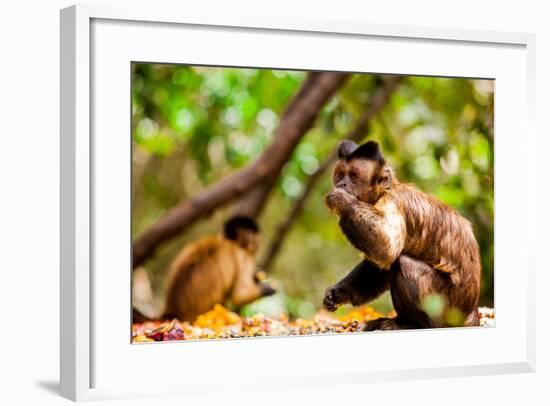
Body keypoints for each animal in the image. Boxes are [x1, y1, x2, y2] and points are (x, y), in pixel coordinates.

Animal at [326, 140, 480, 330]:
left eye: (353, 176)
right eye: (340, 175)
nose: (342, 184)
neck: (385, 191)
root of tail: (471, 313)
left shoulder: (393, 201)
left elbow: (387, 249)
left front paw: (342, 201)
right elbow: (379, 263)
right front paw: (338, 293)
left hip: (448, 311)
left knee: (402, 262)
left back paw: (411, 324)